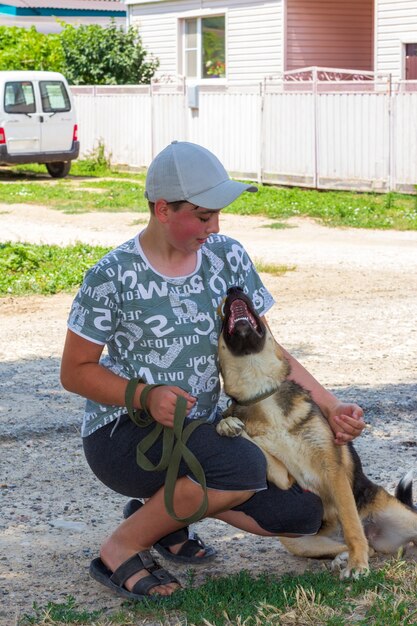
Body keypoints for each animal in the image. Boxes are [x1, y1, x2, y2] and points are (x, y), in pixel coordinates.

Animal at [216, 286, 414, 576]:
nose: (234, 289)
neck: (262, 390)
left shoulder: (333, 470)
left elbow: (352, 525)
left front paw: (357, 565)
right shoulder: (284, 477)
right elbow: (257, 446)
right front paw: (226, 424)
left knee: (362, 536)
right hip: (295, 541)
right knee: (367, 547)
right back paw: (342, 557)